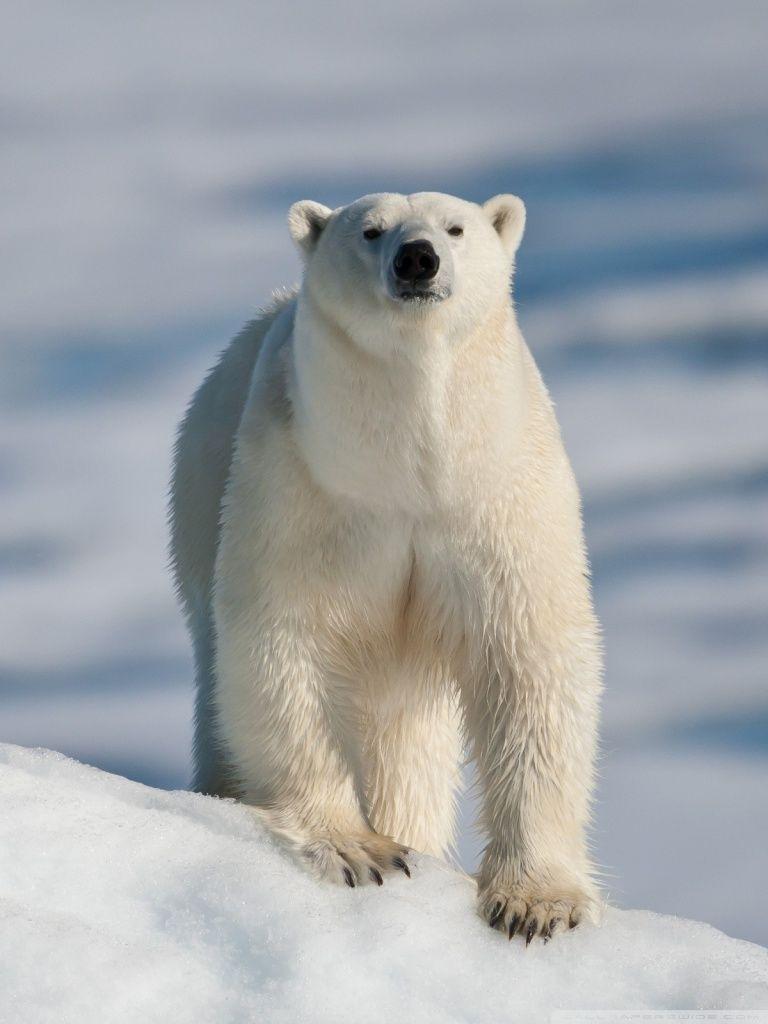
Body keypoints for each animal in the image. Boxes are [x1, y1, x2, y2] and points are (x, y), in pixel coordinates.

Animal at [170, 191, 602, 942]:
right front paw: (358, 850)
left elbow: (529, 659)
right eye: (370, 231)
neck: (412, 468)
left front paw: (535, 903)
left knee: (407, 741)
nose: (417, 259)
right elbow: (285, 643)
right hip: (200, 497)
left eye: (455, 228)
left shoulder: (497, 493)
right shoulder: (305, 485)